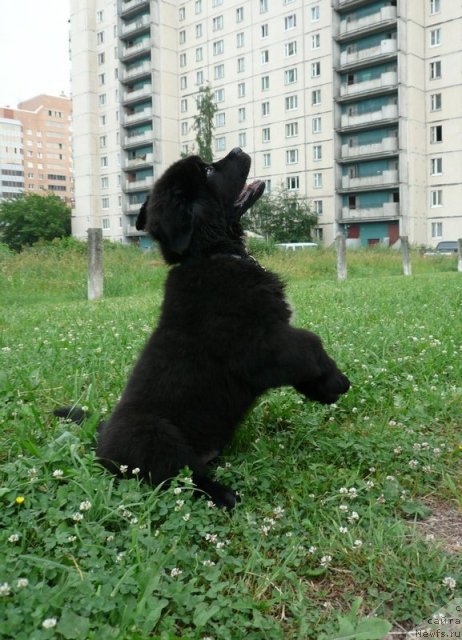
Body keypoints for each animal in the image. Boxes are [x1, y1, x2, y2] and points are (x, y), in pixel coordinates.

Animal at [67, 148, 348, 508]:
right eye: (209, 172)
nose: (239, 150)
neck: (211, 255)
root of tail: (101, 442)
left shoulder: (273, 344)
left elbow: (306, 353)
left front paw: (323, 389)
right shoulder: (259, 348)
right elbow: (310, 343)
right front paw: (336, 382)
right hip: (157, 435)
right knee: (181, 477)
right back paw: (224, 494)